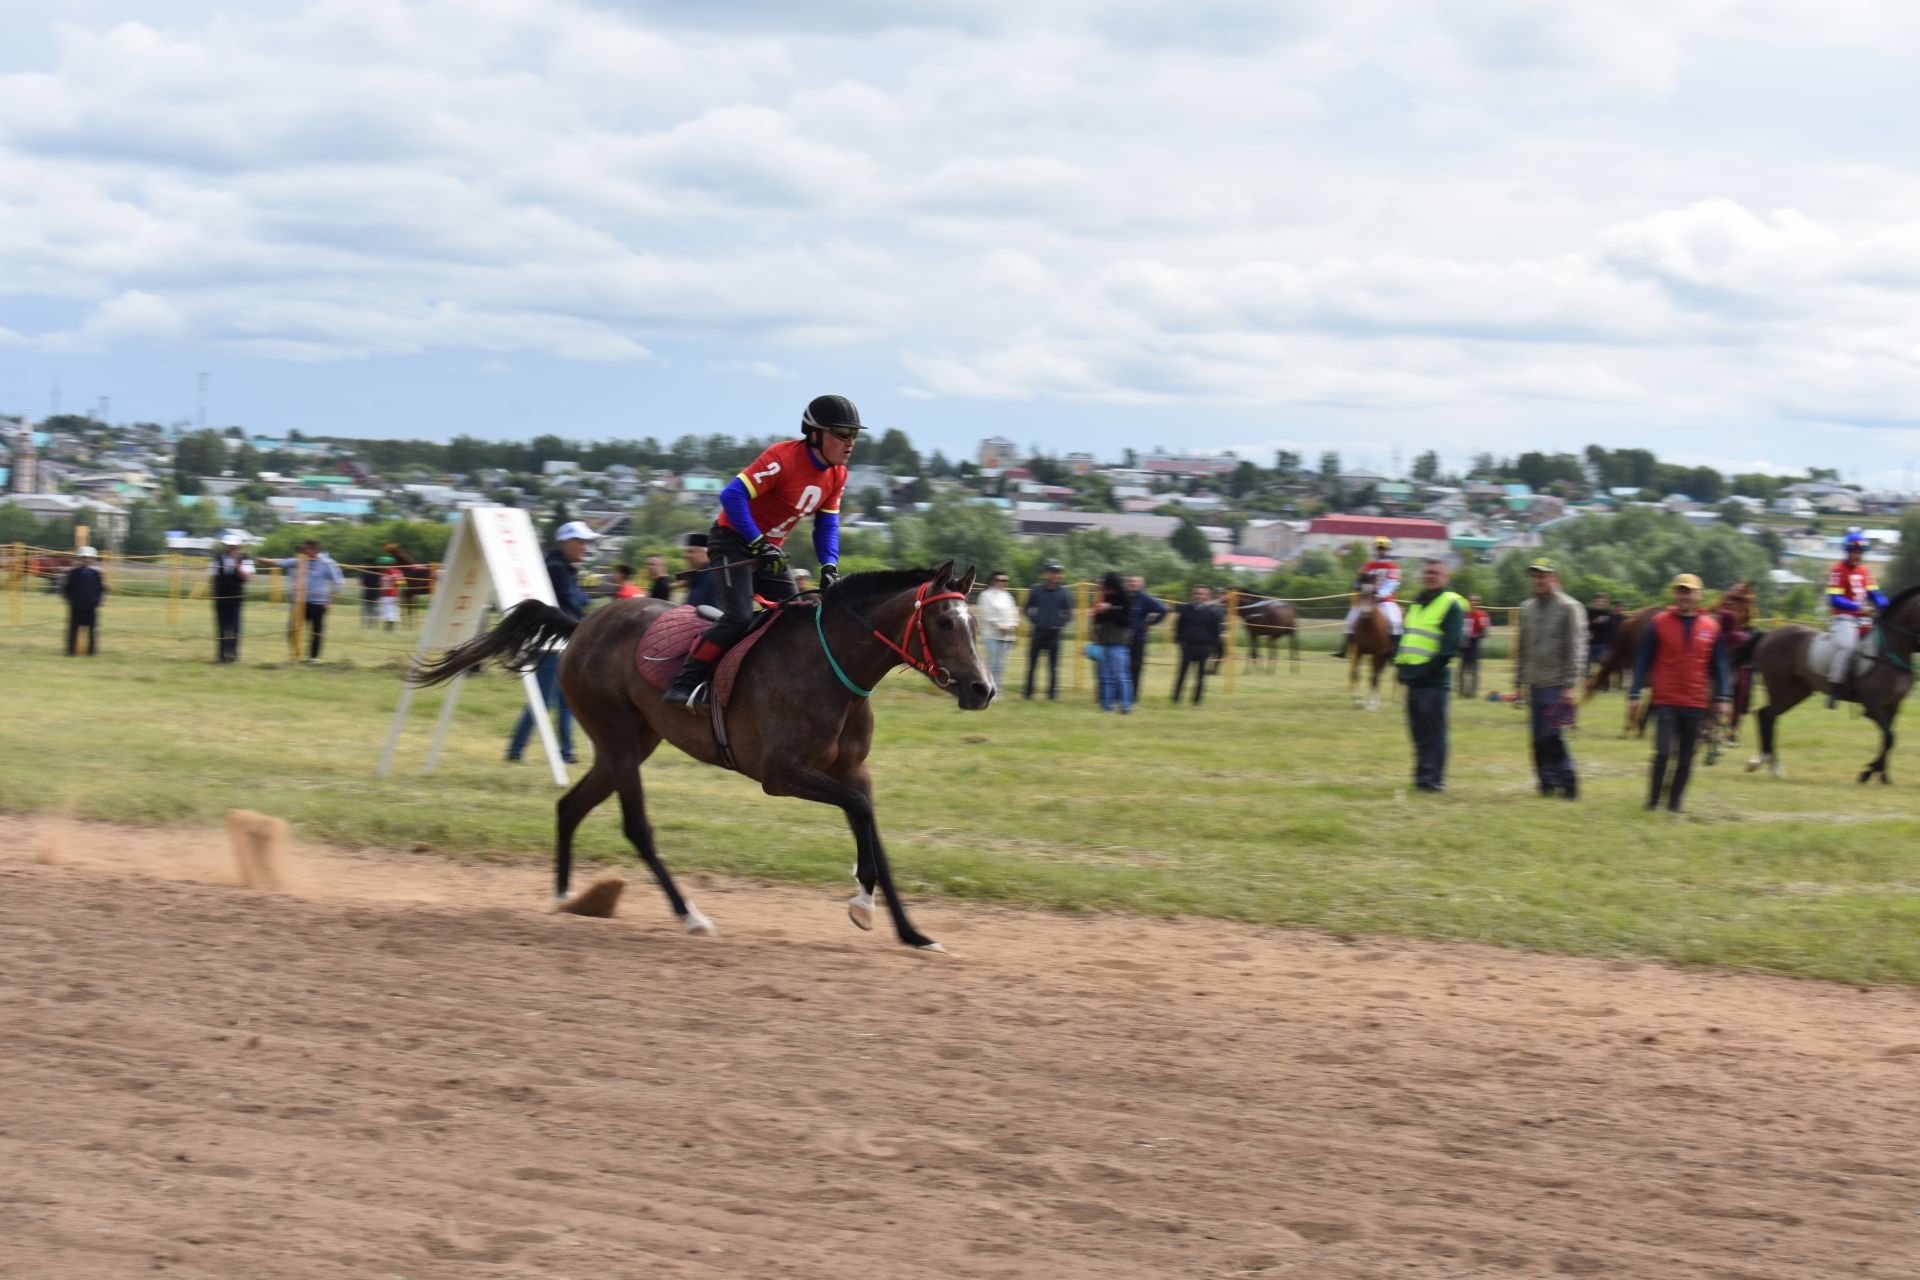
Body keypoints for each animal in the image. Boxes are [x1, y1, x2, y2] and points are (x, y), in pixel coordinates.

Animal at [416, 564, 990, 951]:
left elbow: (871, 827)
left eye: (975, 625)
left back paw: (564, 897)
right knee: (636, 828)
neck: (832, 666)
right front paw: (862, 902)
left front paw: (911, 931)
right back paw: (689, 915)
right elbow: (861, 811)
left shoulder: (851, 770)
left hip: (629, 743)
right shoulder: (781, 773)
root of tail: (583, 625)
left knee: (570, 806)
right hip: (618, 739)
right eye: (944, 623)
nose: (983, 689)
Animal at [1351, 579, 1397, 710]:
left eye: (1374, 593)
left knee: (1383, 676)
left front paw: (1370, 705)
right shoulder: (1359, 651)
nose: (1365, 612)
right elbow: (1357, 673)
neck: (1369, 626)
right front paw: (1358, 700)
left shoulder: (1377, 653)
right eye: (1361, 592)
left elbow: (1374, 677)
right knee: (1379, 675)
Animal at [1751, 587, 1912, 786]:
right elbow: (1889, 737)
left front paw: (1882, 776)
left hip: (1795, 692)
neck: (1890, 650)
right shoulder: (1872, 705)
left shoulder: (1893, 705)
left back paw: (1770, 765)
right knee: (1765, 715)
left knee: (1768, 715)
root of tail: (1769, 635)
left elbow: (1887, 738)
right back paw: (1768, 765)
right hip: (1783, 691)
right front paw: (1867, 774)